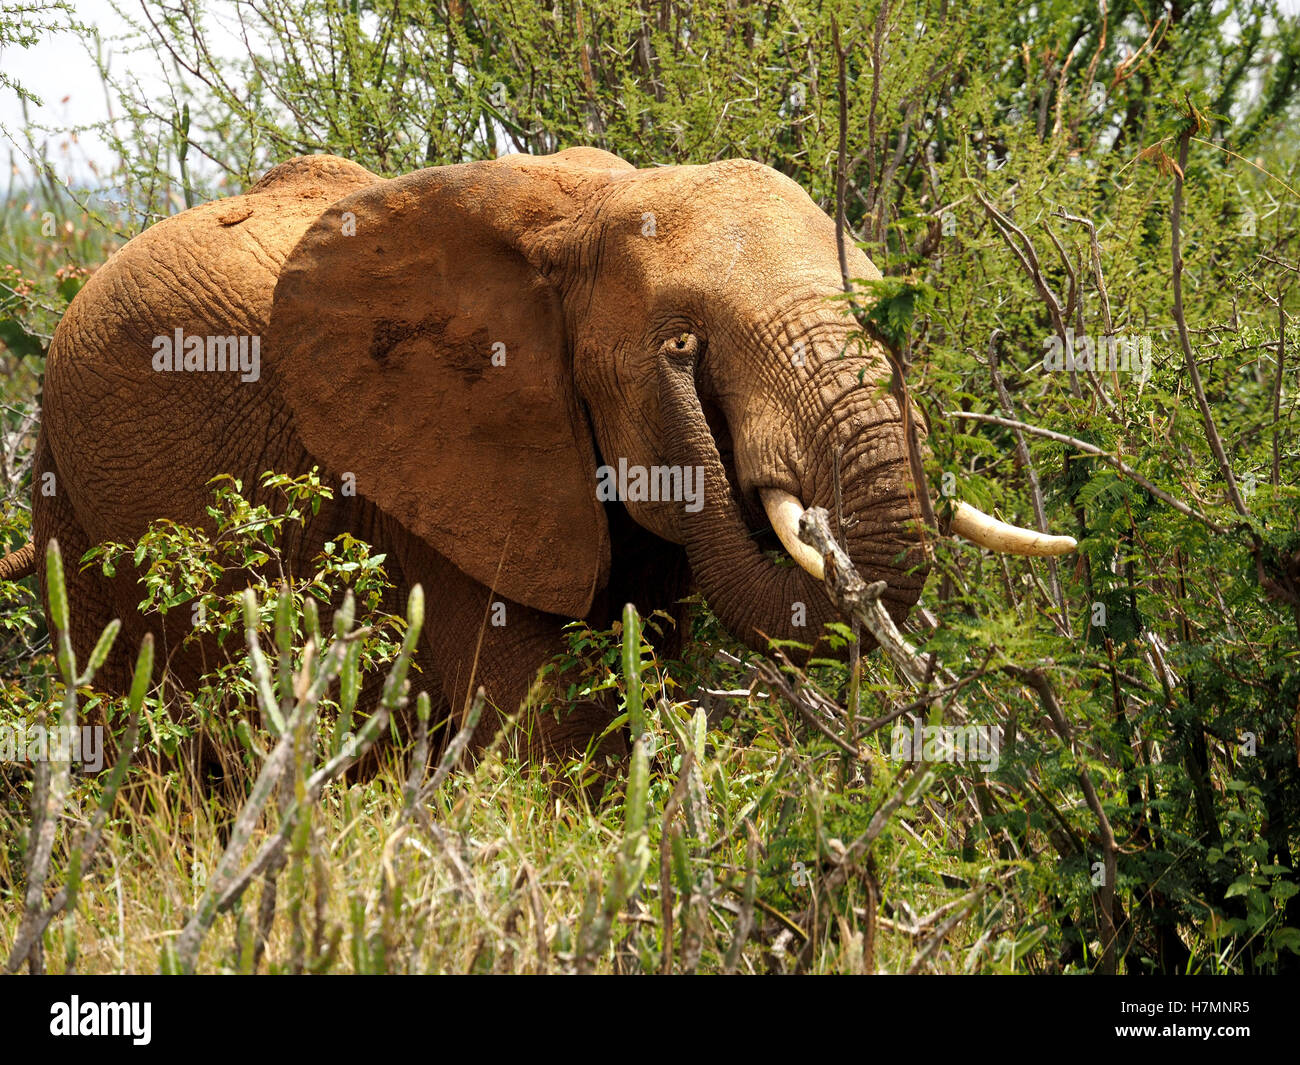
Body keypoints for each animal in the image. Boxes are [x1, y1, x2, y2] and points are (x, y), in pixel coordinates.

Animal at [5, 150, 1071, 764]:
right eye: (684, 338)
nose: (683, 364)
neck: (588, 207)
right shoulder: (438, 479)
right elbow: (546, 725)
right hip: (70, 495)